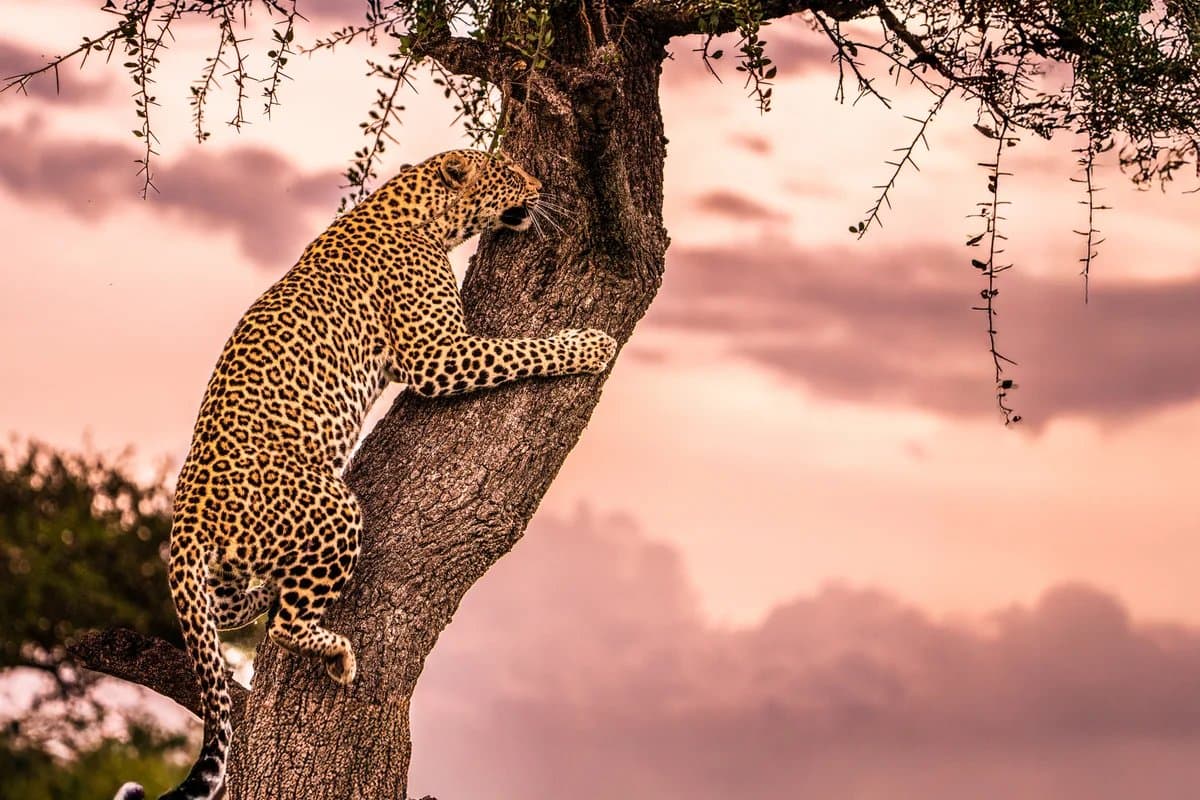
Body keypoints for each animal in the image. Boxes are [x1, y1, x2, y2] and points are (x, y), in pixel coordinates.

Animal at [114, 149, 617, 800]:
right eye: (507, 171)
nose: (538, 183)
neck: (419, 207)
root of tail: (187, 523)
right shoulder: (437, 355)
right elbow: (521, 351)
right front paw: (590, 344)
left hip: (226, 572)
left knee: (233, 610)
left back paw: (265, 592)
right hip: (333, 508)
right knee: (286, 625)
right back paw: (337, 654)